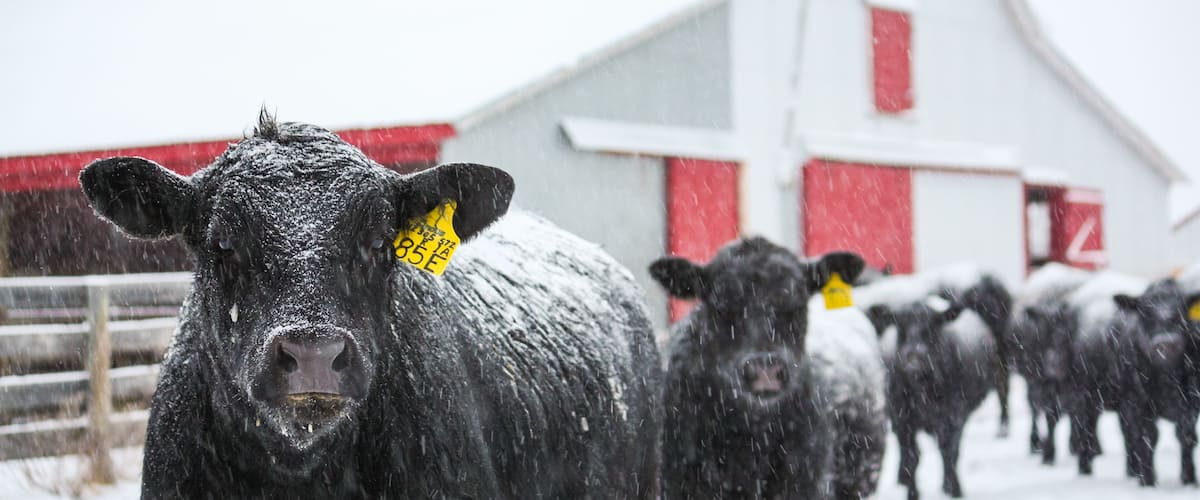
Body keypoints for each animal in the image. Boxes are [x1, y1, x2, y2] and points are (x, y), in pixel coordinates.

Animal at [871, 297, 995, 500]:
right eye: (900, 327)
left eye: (933, 327)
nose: (913, 359)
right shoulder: (902, 420)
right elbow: (912, 459)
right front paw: (912, 494)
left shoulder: (953, 417)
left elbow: (949, 452)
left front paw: (954, 489)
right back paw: (902, 479)